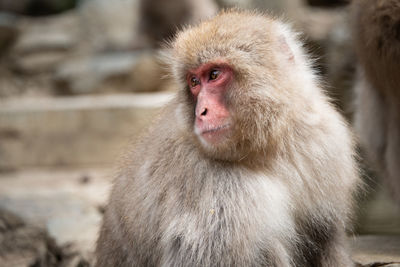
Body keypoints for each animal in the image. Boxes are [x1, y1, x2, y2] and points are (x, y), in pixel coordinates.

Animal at [95, 10, 360, 267]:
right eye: (194, 82)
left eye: (214, 75)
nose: (201, 112)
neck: (265, 149)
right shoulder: (219, 190)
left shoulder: (324, 141)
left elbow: (326, 238)